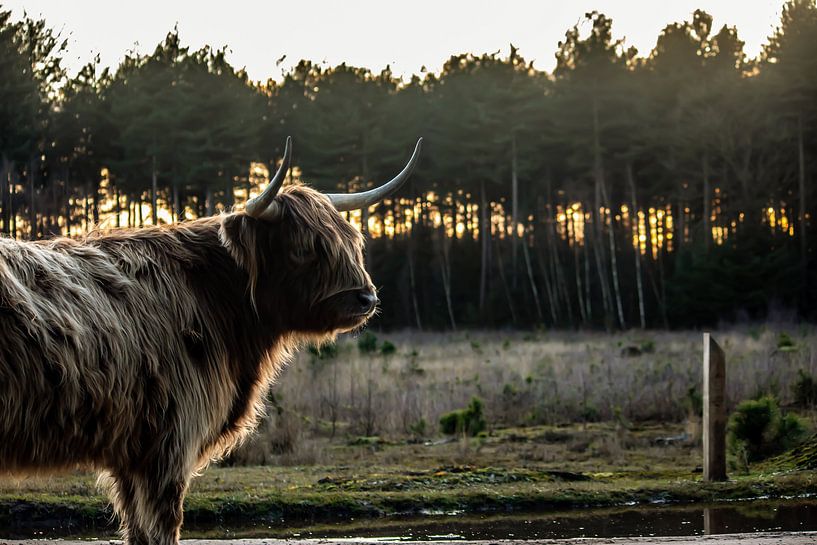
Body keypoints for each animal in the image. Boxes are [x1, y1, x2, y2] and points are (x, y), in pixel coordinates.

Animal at [0, 138, 420, 544]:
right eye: (304, 249)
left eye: (352, 240)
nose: (366, 298)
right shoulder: (169, 442)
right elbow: (162, 526)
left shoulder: (132, 452)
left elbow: (137, 529)